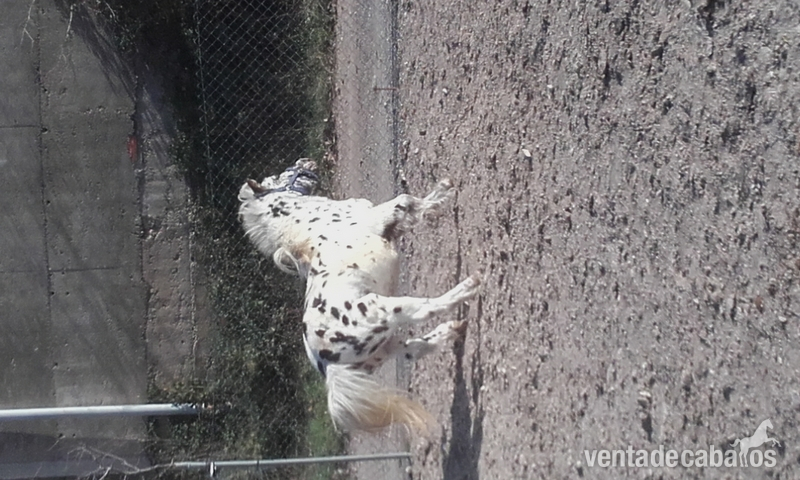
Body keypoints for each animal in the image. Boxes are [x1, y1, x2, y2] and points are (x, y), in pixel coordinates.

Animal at [238, 159, 481, 432]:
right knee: (427, 309)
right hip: (386, 309)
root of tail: (329, 364)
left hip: (385, 346)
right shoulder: (381, 216)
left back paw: (454, 328)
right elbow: (407, 200)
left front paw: (439, 198)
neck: (305, 222)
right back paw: (468, 287)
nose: (305, 162)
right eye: (280, 176)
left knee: (416, 348)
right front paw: (443, 193)